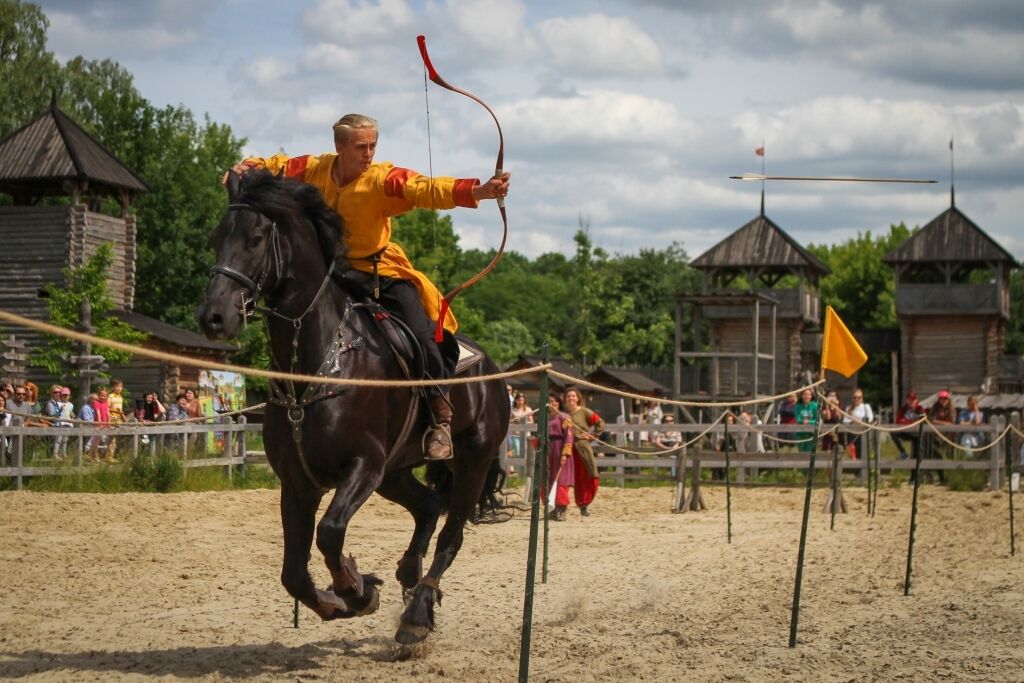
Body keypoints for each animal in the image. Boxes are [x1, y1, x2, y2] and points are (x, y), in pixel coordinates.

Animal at [196, 167, 512, 643]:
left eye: (255, 237)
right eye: (217, 237)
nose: (214, 317)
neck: (322, 361)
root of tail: (493, 372)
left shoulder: (363, 464)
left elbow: (329, 534)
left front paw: (356, 588)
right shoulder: (298, 482)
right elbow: (294, 573)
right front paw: (343, 597)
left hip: (471, 460)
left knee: (451, 534)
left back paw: (416, 615)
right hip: (395, 472)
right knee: (428, 507)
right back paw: (408, 575)